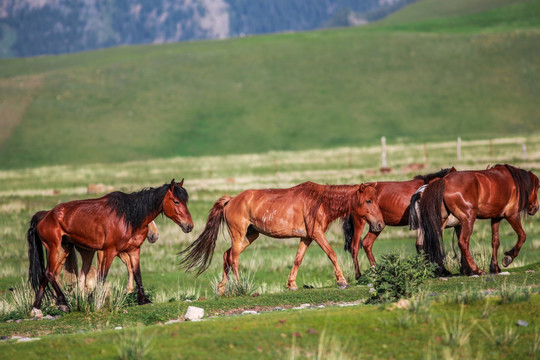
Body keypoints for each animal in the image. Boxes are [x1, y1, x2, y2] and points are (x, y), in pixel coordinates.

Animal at [26, 180, 194, 316]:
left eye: (185, 201)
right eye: (176, 201)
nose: (189, 226)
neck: (129, 217)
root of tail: (45, 215)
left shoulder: (134, 250)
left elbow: (137, 274)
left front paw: (143, 300)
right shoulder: (109, 251)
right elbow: (102, 277)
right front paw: (97, 301)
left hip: (64, 249)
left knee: (47, 274)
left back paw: (37, 309)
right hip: (55, 249)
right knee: (50, 273)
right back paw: (63, 304)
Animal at [178, 181, 384, 294]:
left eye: (376, 200)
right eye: (368, 201)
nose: (380, 224)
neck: (321, 201)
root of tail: (231, 200)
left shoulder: (307, 237)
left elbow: (298, 259)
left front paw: (291, 284)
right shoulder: (318, 234)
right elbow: (331, 254)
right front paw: (342, 281)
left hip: (250, 235)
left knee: (227, 255)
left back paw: (222, 288)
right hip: (238, 235)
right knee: (234, 258)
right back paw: (239, 286)